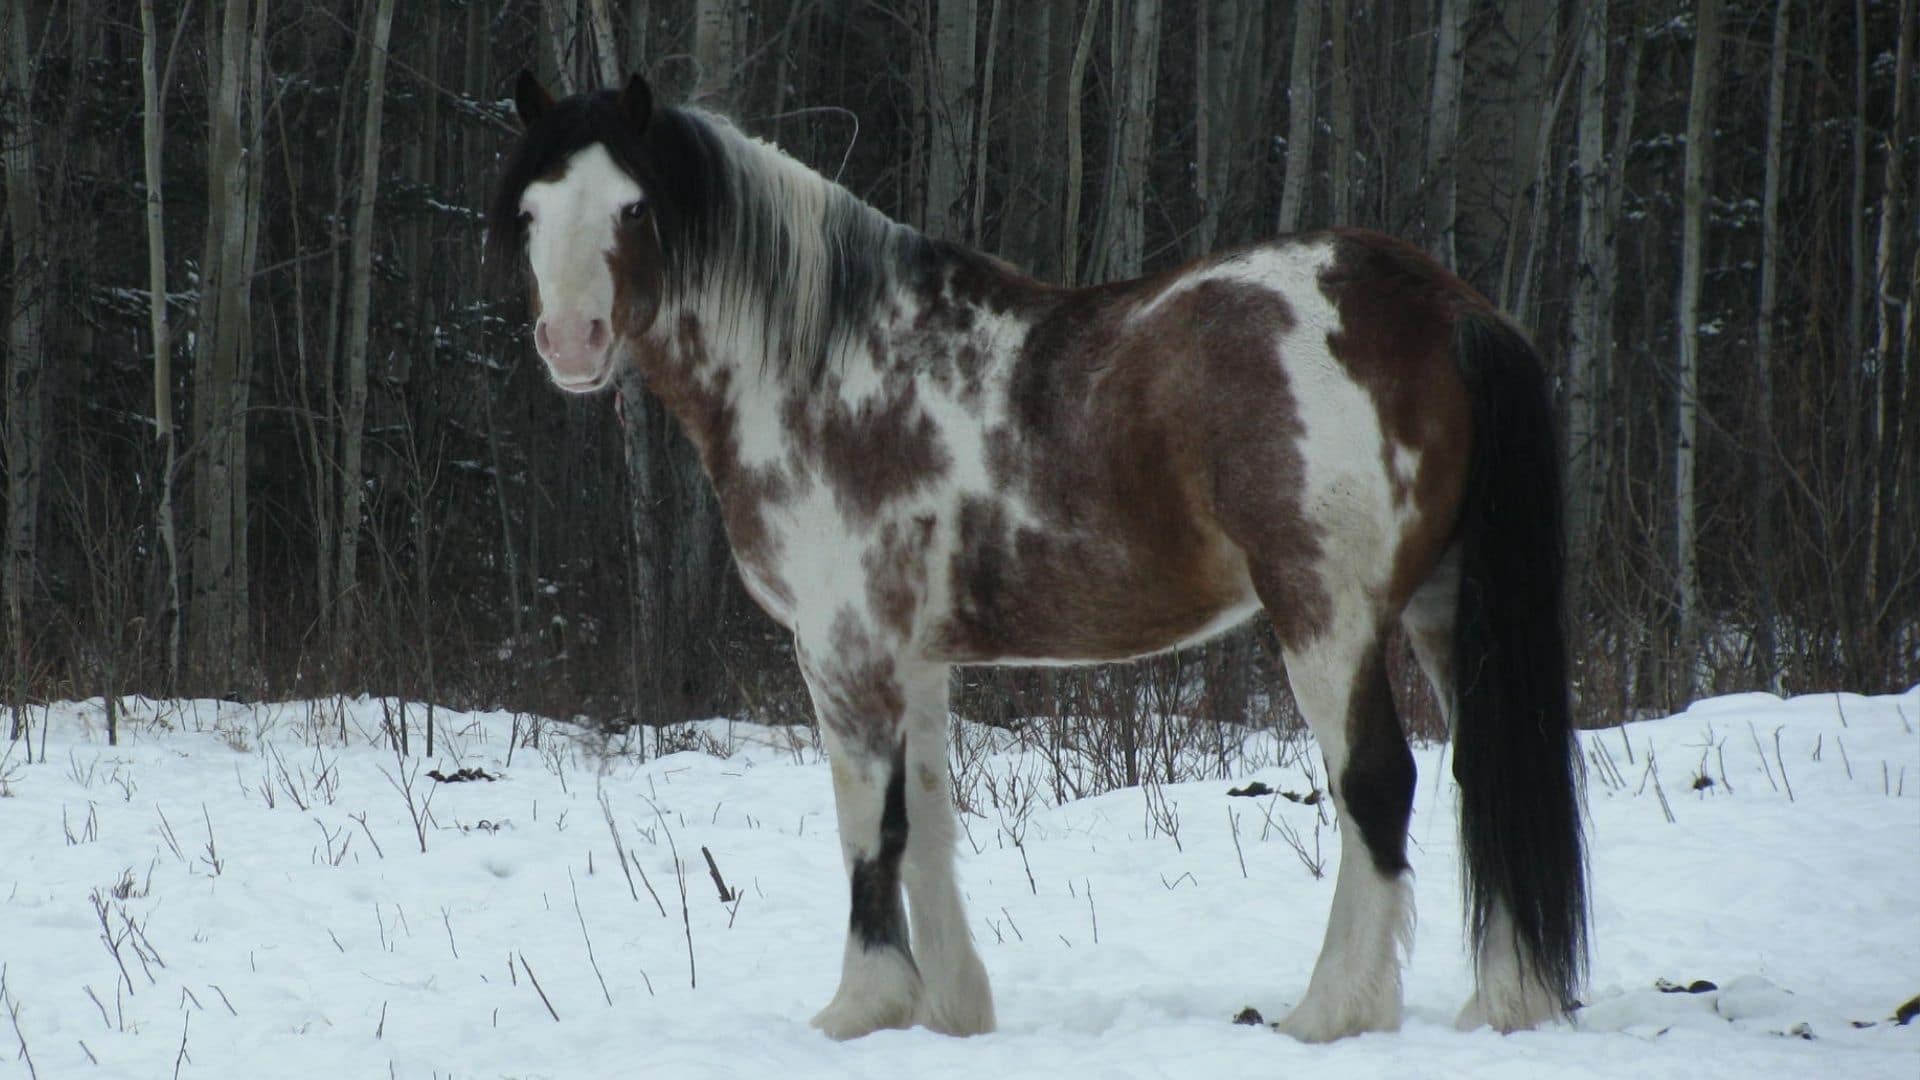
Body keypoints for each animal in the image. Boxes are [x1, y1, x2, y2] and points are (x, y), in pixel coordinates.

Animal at [486, 71, 1588, 1043]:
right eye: (533, 213)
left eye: (632, 206)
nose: (572, 340)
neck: (825, 365)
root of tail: (1443, 306)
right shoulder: (915, 658)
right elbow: (927, 821)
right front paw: (948, 1013)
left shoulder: (843, 648)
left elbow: (868, 824)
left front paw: (862, 1009)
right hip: (1445, 611)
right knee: (1480, 771)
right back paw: (1506, 1002)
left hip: (1326, 615)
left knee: (1377, 783)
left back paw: (1330, 1012)